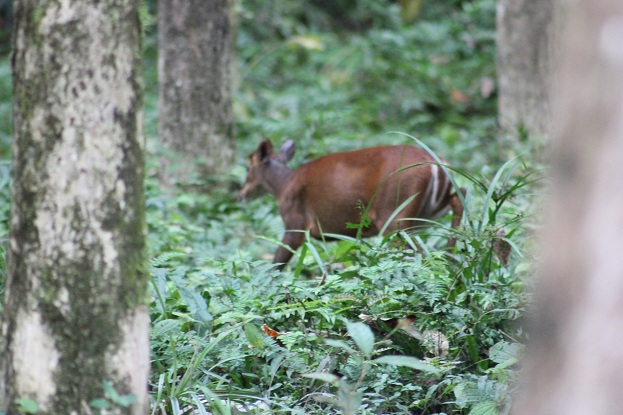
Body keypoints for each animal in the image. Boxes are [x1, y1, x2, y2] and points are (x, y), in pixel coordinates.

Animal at [238, 140, 464, 270]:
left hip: (394, 212)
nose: (240, 195)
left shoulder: (295, 223)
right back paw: (451, 258)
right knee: (460, 196)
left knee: (416, 253)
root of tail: (438, 166)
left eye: (248, 168)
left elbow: (276, 264)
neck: (283, 186)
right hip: (424, 213)